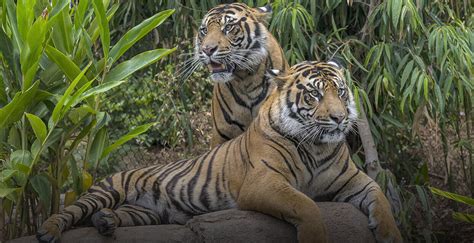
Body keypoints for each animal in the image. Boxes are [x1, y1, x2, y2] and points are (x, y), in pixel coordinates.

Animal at [37, 61, 400, 243]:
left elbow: (381, 199)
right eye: (314, 95)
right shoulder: (263, 182)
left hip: (147, 212)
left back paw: (106, 223)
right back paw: (49, 231)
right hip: (106, 189)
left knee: (119, 216)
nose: (340, 118)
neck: (316, 146)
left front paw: (389, 234)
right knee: (72, 212)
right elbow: (306, 205)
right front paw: (314, 237)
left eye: (341, 92)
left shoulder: (352, 180)